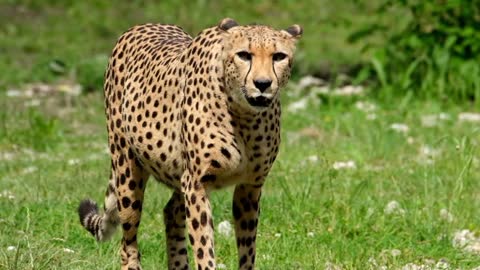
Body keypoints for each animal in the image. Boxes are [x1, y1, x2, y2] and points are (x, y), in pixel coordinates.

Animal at [79, 17, 304, 268]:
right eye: (244, 55)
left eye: (279, 56)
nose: (262, 83)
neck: (244, 115)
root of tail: (142, 25)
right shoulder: (196, 183)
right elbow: (204, 246)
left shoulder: (250, 186)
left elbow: (248, 250)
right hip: (128, 171)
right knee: (128, 242)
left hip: (178, 175)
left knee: (170, 212)